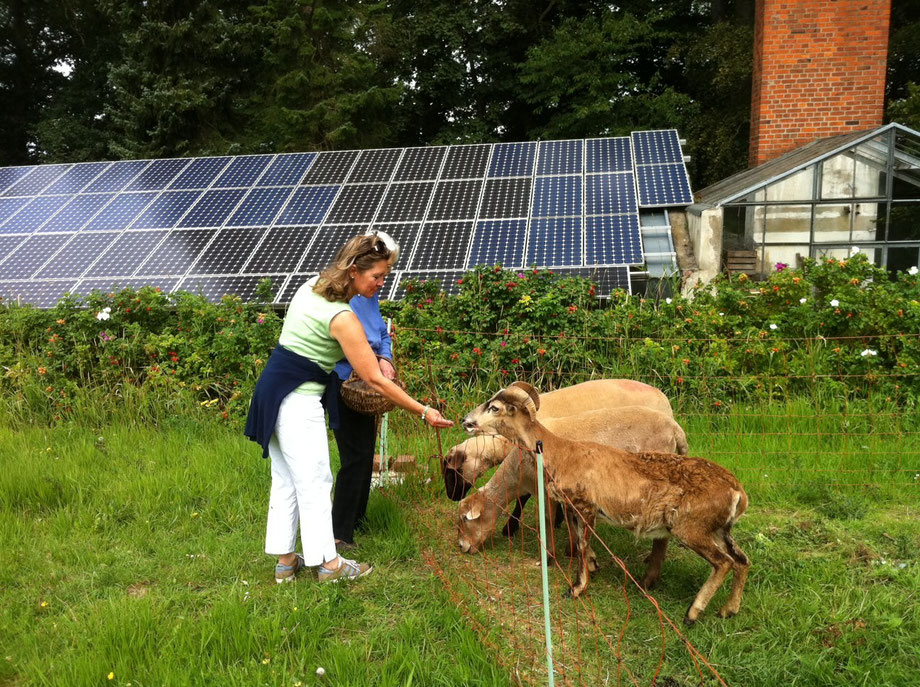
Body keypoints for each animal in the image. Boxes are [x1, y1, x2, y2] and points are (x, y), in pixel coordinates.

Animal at [460, 384, 748, 628]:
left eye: (494, 407)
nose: (466, 421)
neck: (561, 451)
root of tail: (738, 492)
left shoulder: (585, 507)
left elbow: (581, 544)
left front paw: (576, 588)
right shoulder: (572, 509)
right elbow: (579, 542)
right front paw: (589, 569)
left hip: (692, 528)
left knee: (723, 563)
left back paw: (692, 612)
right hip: (720, 529)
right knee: (741, 560)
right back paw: (729, 609)